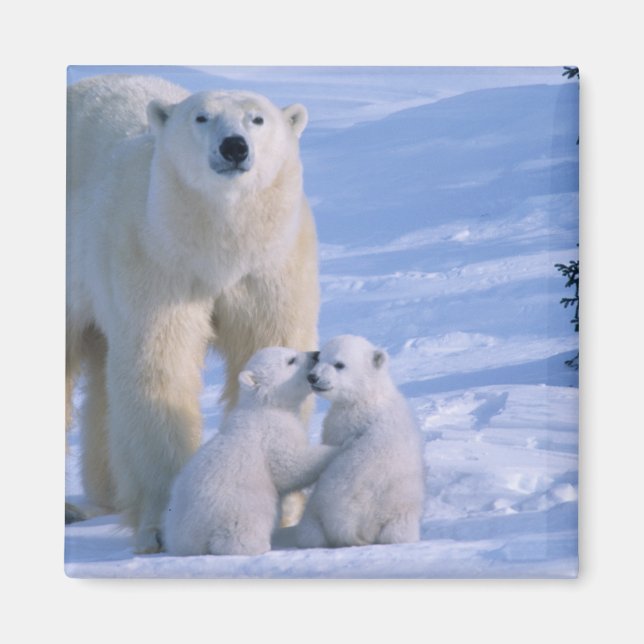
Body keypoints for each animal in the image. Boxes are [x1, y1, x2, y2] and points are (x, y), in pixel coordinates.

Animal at [66, 74, 319, 553]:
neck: (217, 246)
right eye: (202, 117)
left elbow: (272, 348)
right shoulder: (155, 259)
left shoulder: (271, 266)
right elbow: (160, 366)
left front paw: (284, 510)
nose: (234, 147)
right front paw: (161, 523)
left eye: (257, 118)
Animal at [164, 347, 340, 556]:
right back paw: (259, 545)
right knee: (240, 532)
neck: (264, 406)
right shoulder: (273, 432)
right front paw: (337, 448)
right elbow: (290, 467)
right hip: (240, 507)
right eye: (291, 360)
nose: (315, 354)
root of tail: (190, 535)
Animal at [295, 335, 425, 548]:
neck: (367, 396)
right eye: (320, 357)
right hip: (401, 516)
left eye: (339, 364)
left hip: (321, 504)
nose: (312, 377)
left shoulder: (343, 424)